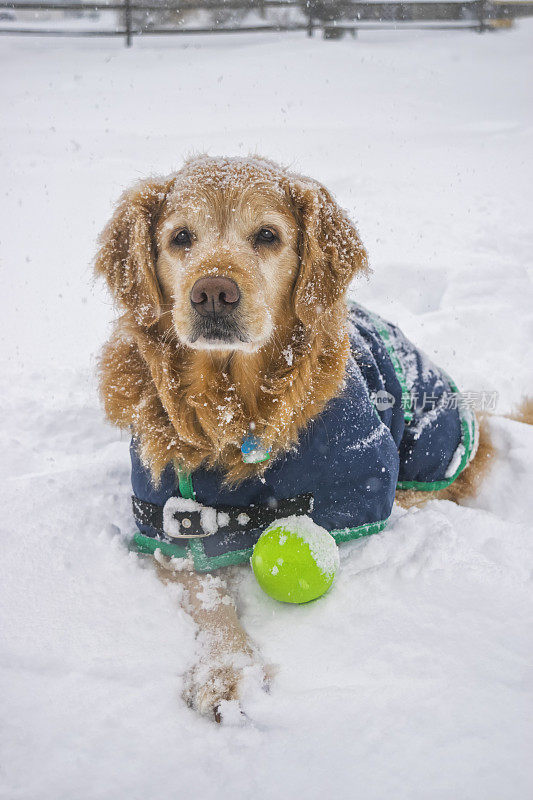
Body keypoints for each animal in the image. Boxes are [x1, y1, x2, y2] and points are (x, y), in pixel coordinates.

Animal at [93, 155, 504, 720]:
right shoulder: (165, 521)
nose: (213, 292)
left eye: (267, 235)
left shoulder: (360, 485)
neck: (233, 405)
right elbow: (209, 596)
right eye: (181, 238)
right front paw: (225, 670)